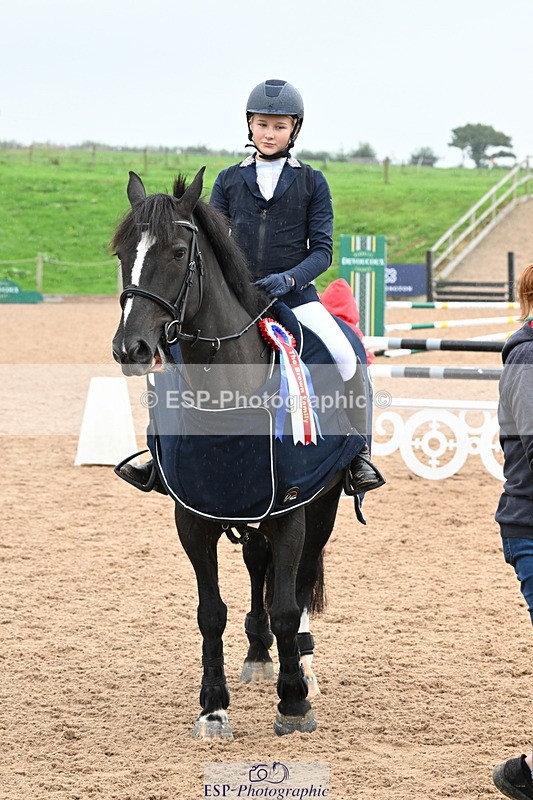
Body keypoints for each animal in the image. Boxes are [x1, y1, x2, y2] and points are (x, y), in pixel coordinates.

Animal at [111, 168, 371, 739]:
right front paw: (213, 707)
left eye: (178, 250)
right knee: (257, 563)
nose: (130, 349)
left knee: (299, 583)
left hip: (321, 507)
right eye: (121, 252)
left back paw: (303, 666)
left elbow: (289, 606)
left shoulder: (292, 509)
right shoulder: (194, 516)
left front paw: (293, 704)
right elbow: (211, 611)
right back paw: (257, 653)